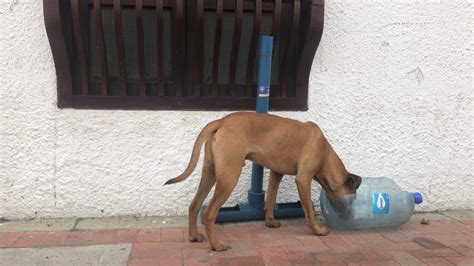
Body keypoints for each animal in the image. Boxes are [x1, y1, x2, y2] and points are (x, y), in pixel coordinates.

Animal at [165, 112, 362, 251]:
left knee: (194, 205)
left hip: (210, 174)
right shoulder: (303, 179)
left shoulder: (276, 173)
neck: (325, 153)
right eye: (352, 197)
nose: (349, 214)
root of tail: (222, 121)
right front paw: (317, 230)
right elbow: (309, 210)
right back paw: (216, 245)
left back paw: (194, 236)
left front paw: (270, 222)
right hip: (229, 177)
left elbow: (271, 199)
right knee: (209, 213)